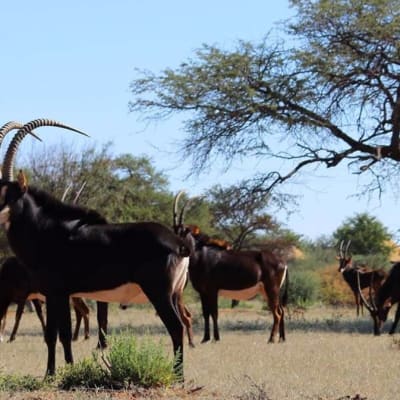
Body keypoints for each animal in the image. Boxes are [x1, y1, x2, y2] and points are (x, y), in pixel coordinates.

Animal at [0, 119, 191, 378]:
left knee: (176, 327)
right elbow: (58, 335)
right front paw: (59, 372)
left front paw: (59, 373)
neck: (44, 229)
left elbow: (57, 335)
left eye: (8, 196)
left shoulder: (56, 292)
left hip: (159, 293)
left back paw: (178, 377)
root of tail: (179, 244)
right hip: (174, 294)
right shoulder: (58, 294)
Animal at [173, 194, 290, 344]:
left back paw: (271, 339)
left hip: (272, 290)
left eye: (183, 232)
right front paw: (205, 338)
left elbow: (214, 313)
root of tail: (283, 262)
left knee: (277, 313)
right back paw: (281, 338)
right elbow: (206, 314)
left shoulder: (212, 291)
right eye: (173, 230)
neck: (201, 255)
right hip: (268, 291)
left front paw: (216, 338)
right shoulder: (203, 292)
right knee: (281, 310)